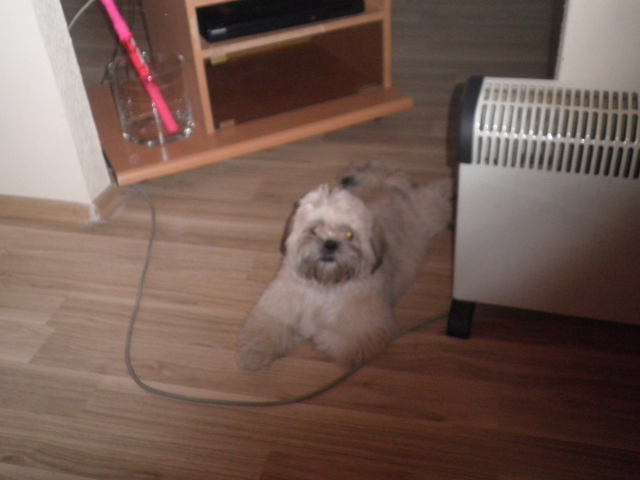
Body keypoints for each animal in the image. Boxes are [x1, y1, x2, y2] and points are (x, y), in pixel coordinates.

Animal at [236, 162, 452, 370]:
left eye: (349, 234)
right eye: (314, 230)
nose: (330, 244)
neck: (323, 286)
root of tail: (384, 183)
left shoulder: (361, 332)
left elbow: (333, 339)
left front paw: (311, 332)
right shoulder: (274, 310)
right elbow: (264, 332)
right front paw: (253, 355)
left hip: (429, 213)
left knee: (435, 197)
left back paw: (448, 187)